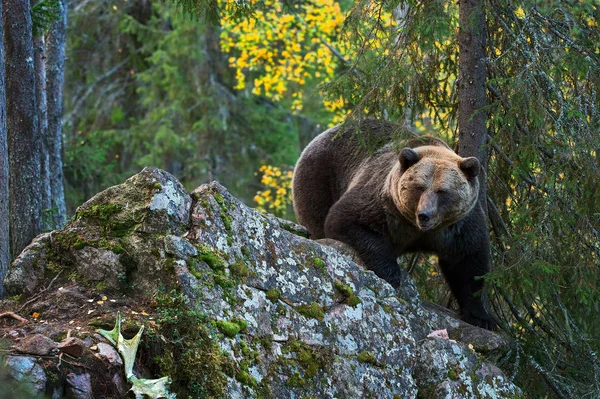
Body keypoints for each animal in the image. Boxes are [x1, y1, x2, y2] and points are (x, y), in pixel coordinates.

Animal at [292, 119, 494, 332]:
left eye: (442, 191)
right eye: (419, 187)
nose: (425, 215)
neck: (418, 230)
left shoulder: (458, 226)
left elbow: (468, 263)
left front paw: (482, 317)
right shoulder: (384, 205)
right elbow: (346, 219)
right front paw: (392, 274)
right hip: (320, 176)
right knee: (318, 217)